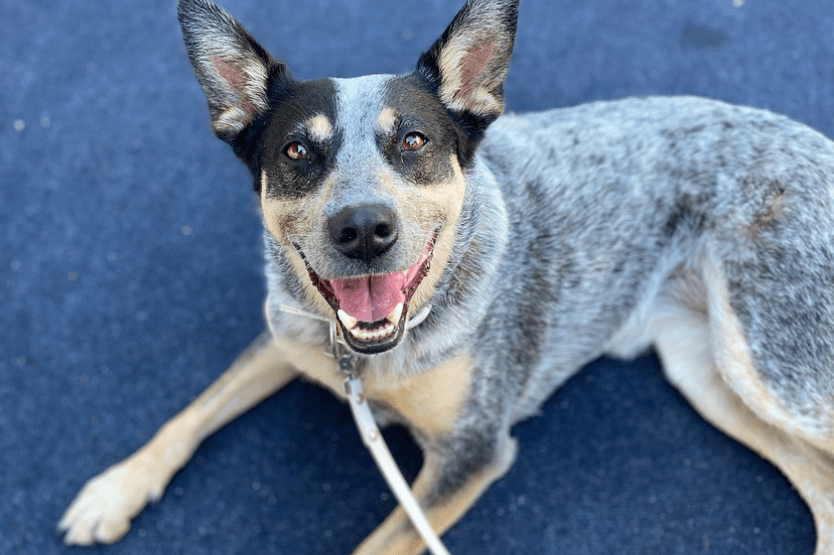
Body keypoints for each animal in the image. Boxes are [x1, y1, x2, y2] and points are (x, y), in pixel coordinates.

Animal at [58, 0, 834, 552]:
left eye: (413, 140)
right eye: (297, 151)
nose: (363, 229)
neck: (367, 361)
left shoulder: (470, 453)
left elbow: (374, 546)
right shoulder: (289, 331)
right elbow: (194, 409)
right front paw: (114, 489)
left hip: (771, 363)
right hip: (707, 369)